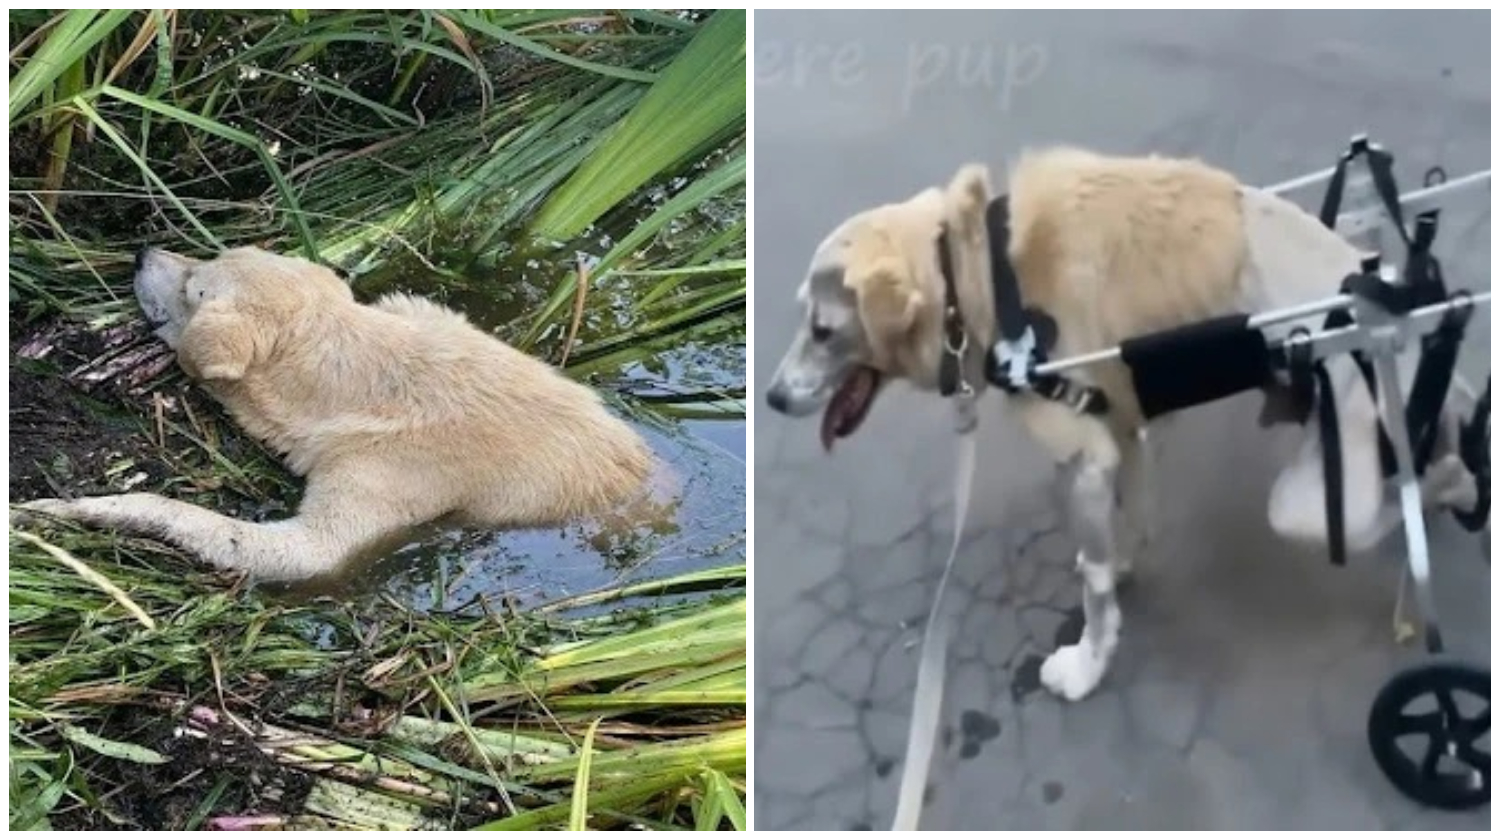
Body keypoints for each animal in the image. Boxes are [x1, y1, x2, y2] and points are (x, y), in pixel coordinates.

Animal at [11, 246, 657, 582]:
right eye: (209, 254)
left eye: (195, 284)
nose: (143, 249)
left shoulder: (379, 476)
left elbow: (294, 551)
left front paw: (59, 508)